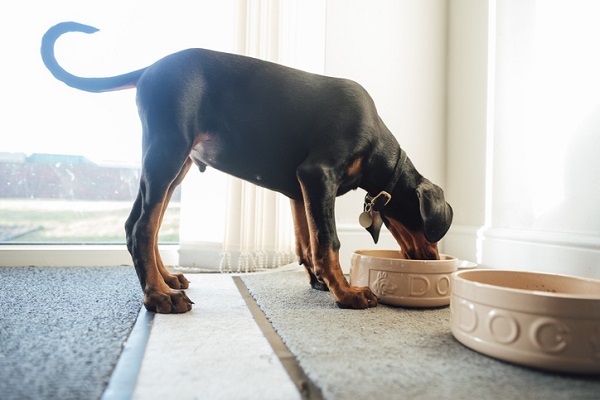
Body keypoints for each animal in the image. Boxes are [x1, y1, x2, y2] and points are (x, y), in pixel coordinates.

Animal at [42, 23, 452, 314]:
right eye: (432, 230)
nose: (434, 261)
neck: (375, 145)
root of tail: (150, 68)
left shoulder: (300, 189)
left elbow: (306, 242)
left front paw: (320, 281)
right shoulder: (318, 175)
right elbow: (328, 240)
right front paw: (347, 293)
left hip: (175, 164)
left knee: (142, 225)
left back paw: (167, 280)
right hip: (167, 151)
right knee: (142, 227)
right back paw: (159, 296)